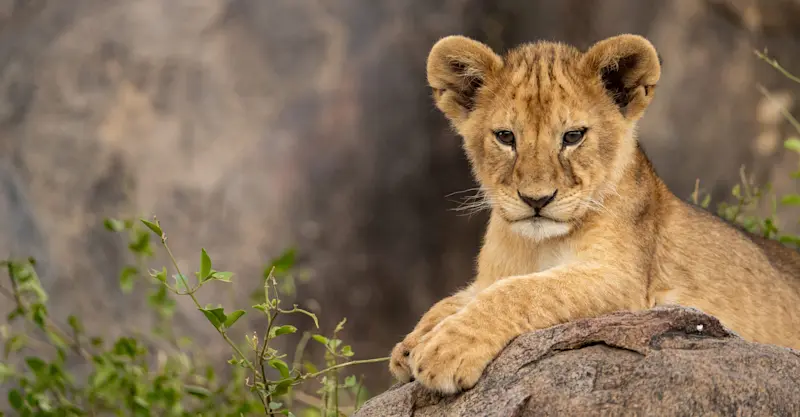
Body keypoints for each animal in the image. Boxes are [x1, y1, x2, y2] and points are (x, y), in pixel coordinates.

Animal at [388, 33, 800, 395]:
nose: (536, 199)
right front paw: (411, 343)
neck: (535, 246)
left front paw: (446, 348)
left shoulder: (624, 281)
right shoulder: (490, 275)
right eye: (505, 137)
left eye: (573, 136)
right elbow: (458, 297)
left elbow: (521, 291)